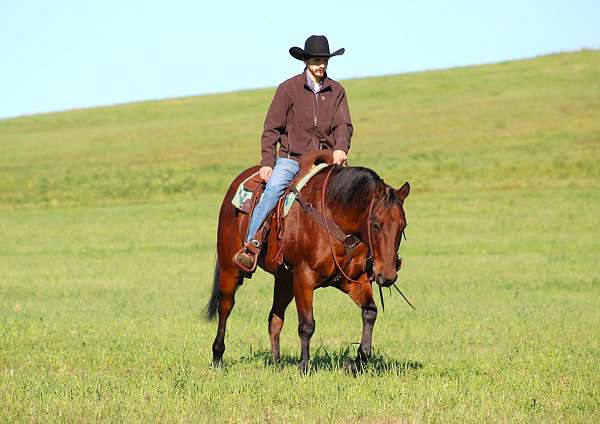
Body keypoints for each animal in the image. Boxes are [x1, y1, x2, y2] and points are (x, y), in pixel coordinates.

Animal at [205, 153, 408, 374]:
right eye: (376, 225)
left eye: (403, 226)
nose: (387, 276)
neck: (333, 217)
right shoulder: (304, 279)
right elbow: (307, 324)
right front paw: (303, 366)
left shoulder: (355, 281)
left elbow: (370, 312)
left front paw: (358, 361)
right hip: (230, 268)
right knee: (225, 307)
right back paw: (217, 357)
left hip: (284, 279)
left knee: (274, 318)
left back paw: (276, 363)